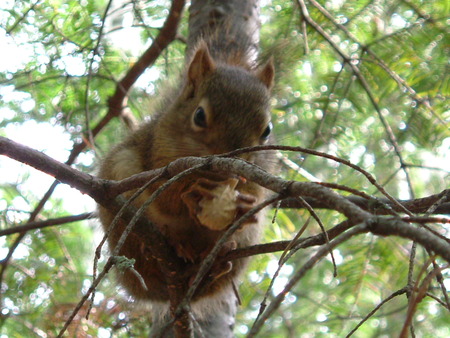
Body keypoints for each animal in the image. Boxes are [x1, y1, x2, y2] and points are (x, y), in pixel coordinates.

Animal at [96, 37, 276, 308]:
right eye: (199, 116)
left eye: (267, 130)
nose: (231, 158)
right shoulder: (158, 154)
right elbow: (167, 198)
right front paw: (193, 194)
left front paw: (243, 206)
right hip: (121, 192)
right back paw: (169, 243)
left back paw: (216, 262)